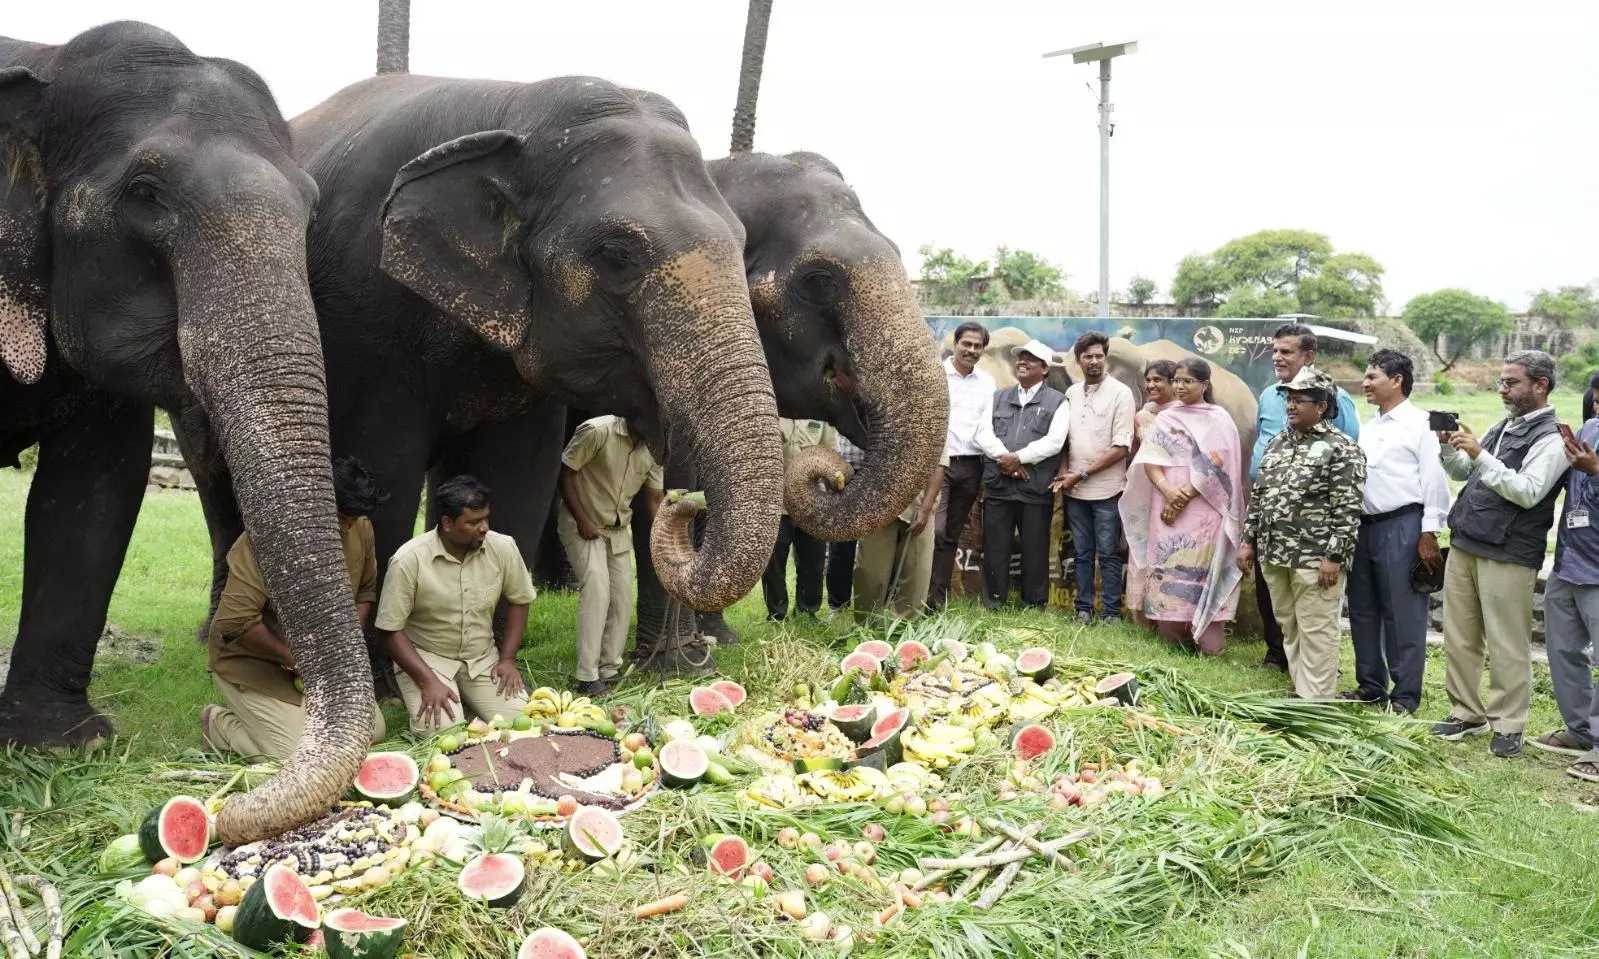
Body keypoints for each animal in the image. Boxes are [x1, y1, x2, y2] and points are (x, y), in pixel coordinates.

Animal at [0, 22, 376, 844]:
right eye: (144, 195)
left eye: (310, 209)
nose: (223, 808)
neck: (47, 65)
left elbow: (96, 492)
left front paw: (59, 745)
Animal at [180, 74, 786, 678]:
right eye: (618, 253)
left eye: (741, 241)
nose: (683, 501)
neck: (515, 106)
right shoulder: (363, 309)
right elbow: (383, 466)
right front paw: (390, 685)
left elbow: (520, 474)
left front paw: (495, 672)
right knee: (217, 482)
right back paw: (218, 640)